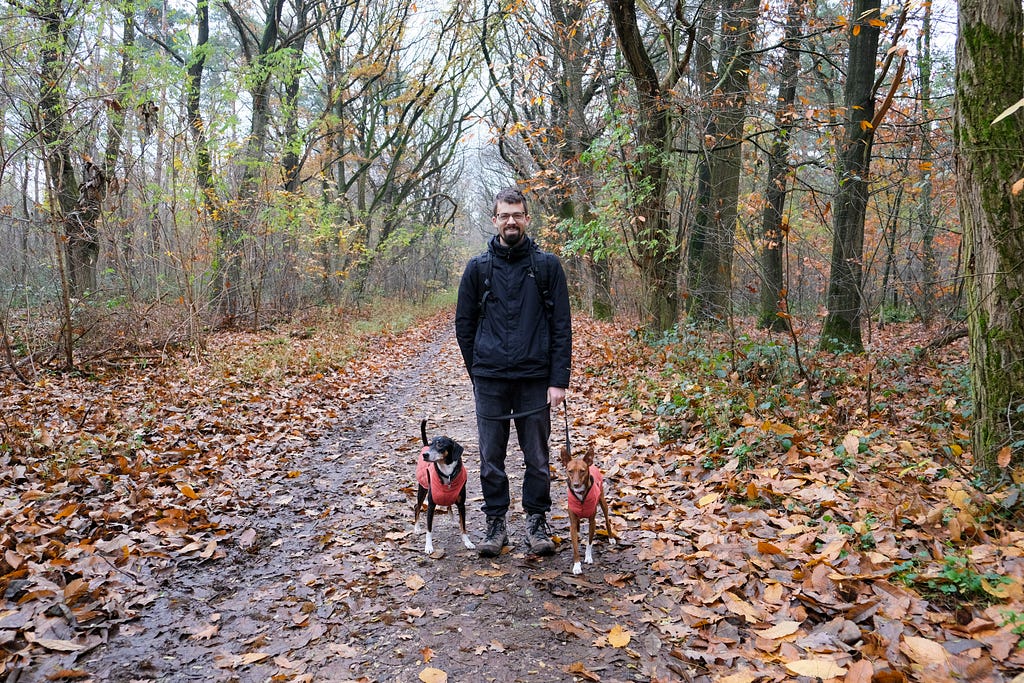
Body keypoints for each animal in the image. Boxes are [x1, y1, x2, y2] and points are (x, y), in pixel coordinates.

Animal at [413, 417, 473, 557]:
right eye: (431, 444)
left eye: (440, 444)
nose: (425, 455)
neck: (447, 473)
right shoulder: (431, 504)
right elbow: (429, 530)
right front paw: (428, 546)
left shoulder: (461, 504)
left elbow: (463, 526)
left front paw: (467, 542)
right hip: (422, 488)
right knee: (417, 506)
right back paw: (417, 528)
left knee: (449, 504)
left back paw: (453, 520)